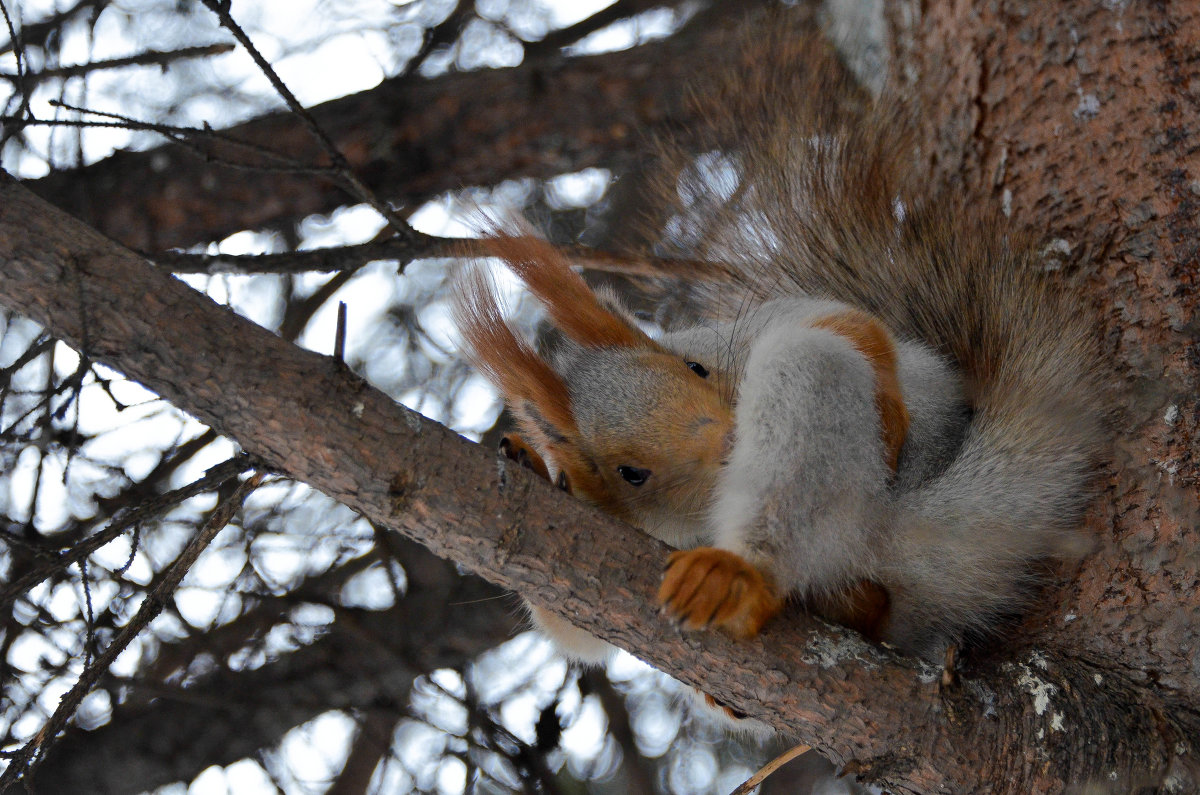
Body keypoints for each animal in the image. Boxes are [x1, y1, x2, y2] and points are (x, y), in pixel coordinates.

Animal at [448, 29, 1104, 667]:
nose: (730, 441)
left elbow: (837, 319)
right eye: (631, 473)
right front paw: (534, 463)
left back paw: (743, 575)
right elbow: (579, 626)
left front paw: (887, 400)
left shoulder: (737, 332)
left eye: (696, 367)